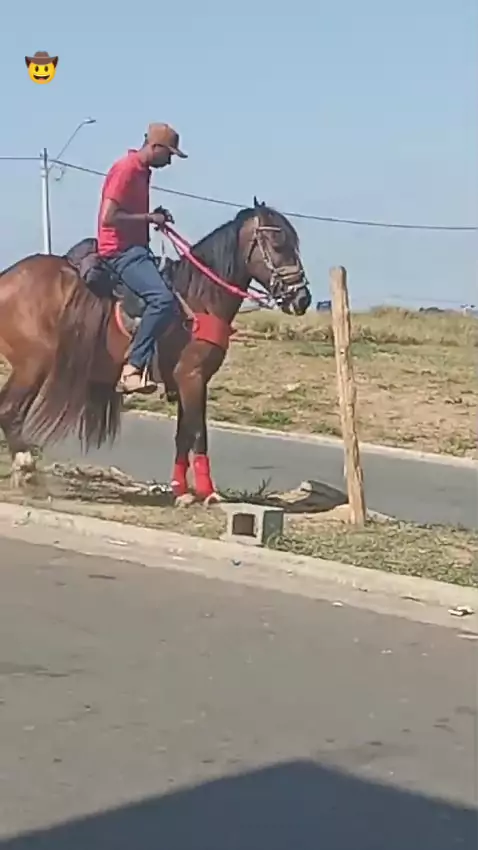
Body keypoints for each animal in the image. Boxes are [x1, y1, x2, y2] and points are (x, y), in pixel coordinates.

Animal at [0, 197, 311, 501]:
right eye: (278, 244)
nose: (303, 299)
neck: (198, 299)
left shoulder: (189, 381)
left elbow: (183, 435)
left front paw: (181, 490)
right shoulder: (192, 376)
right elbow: (199, 433)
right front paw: (208, 493)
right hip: (34, 363)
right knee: (9, 409)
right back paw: (26, 468)